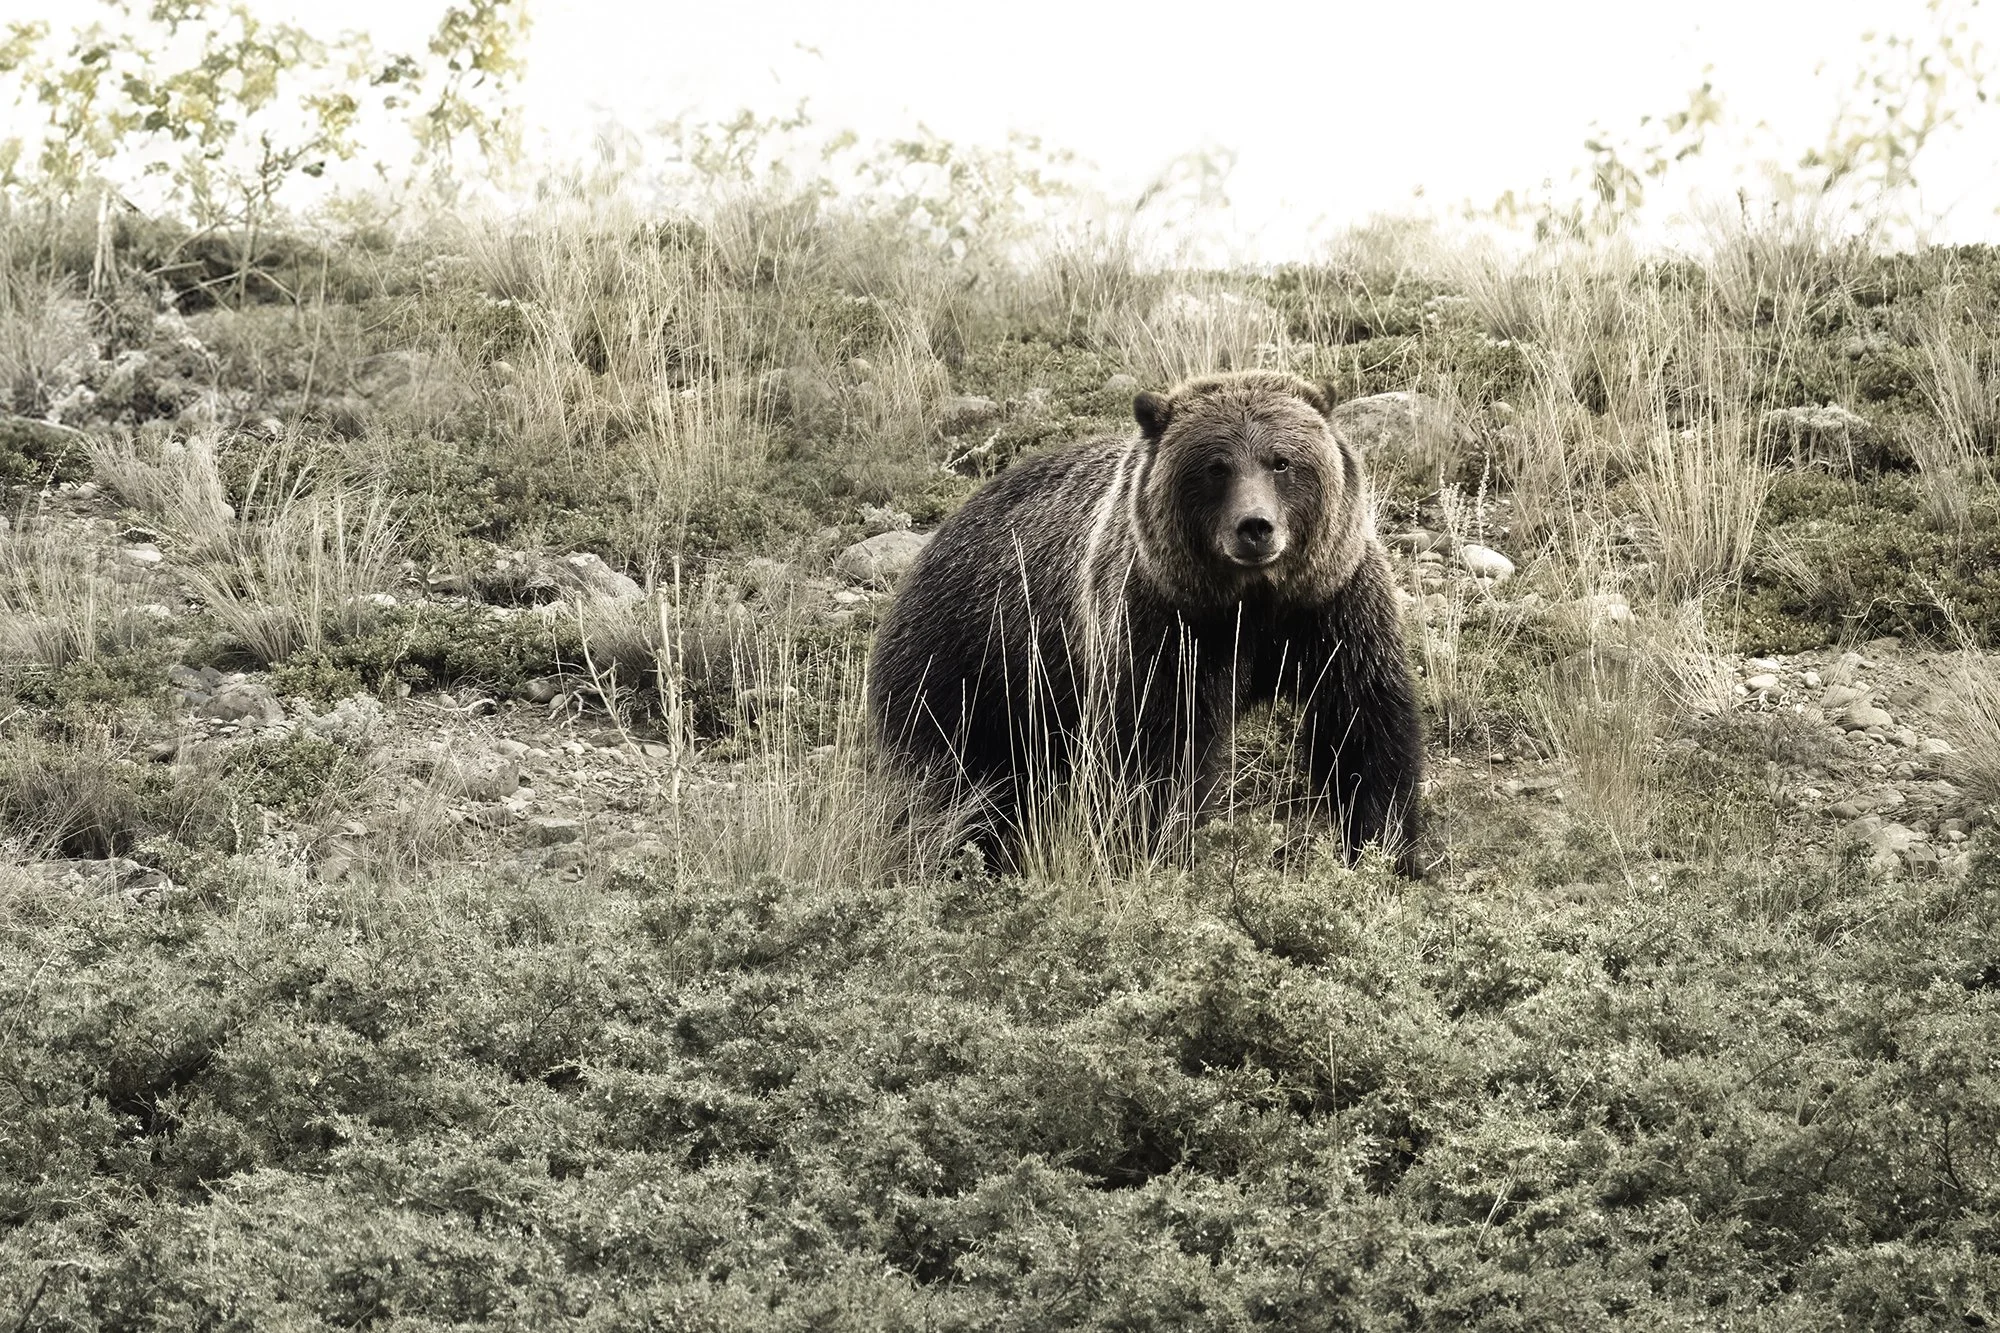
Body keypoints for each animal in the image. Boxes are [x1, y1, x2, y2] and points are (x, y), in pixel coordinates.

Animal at [868, 369, 1423, 875]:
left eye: (1282, 461)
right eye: (1215, 467)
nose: (1255, 527)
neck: (1251, 603)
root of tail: (942, 533)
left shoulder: (1330, 606)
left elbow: (1363, 724)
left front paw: (1386, 847)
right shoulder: (1161, 620)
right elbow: (1153, 743)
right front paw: (1153, 845)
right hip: (968, 663)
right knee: (955, 777)